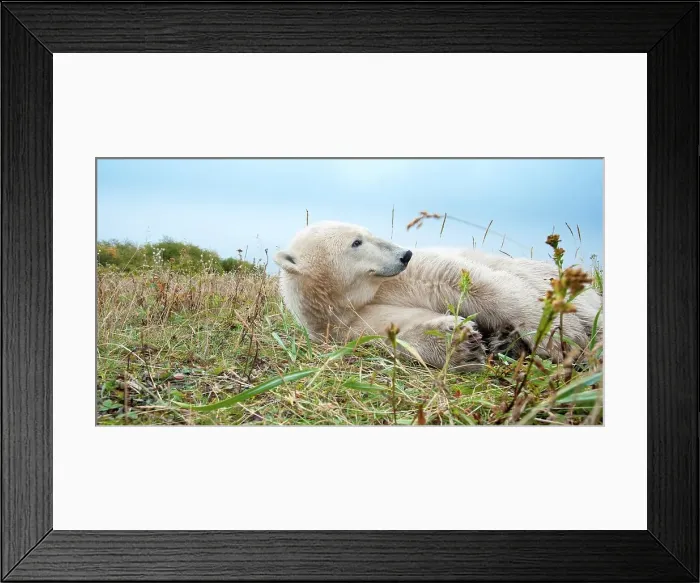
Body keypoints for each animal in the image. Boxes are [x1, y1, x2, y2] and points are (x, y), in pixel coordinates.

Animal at [274, 221, 602, 371]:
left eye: (366, 233)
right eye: (356, 242)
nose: (404, 254)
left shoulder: (403, 279)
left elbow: (461, 281)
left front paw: (559, 336)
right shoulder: (344, 324)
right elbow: (394, 331)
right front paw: (461, 342)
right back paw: (504, 341)